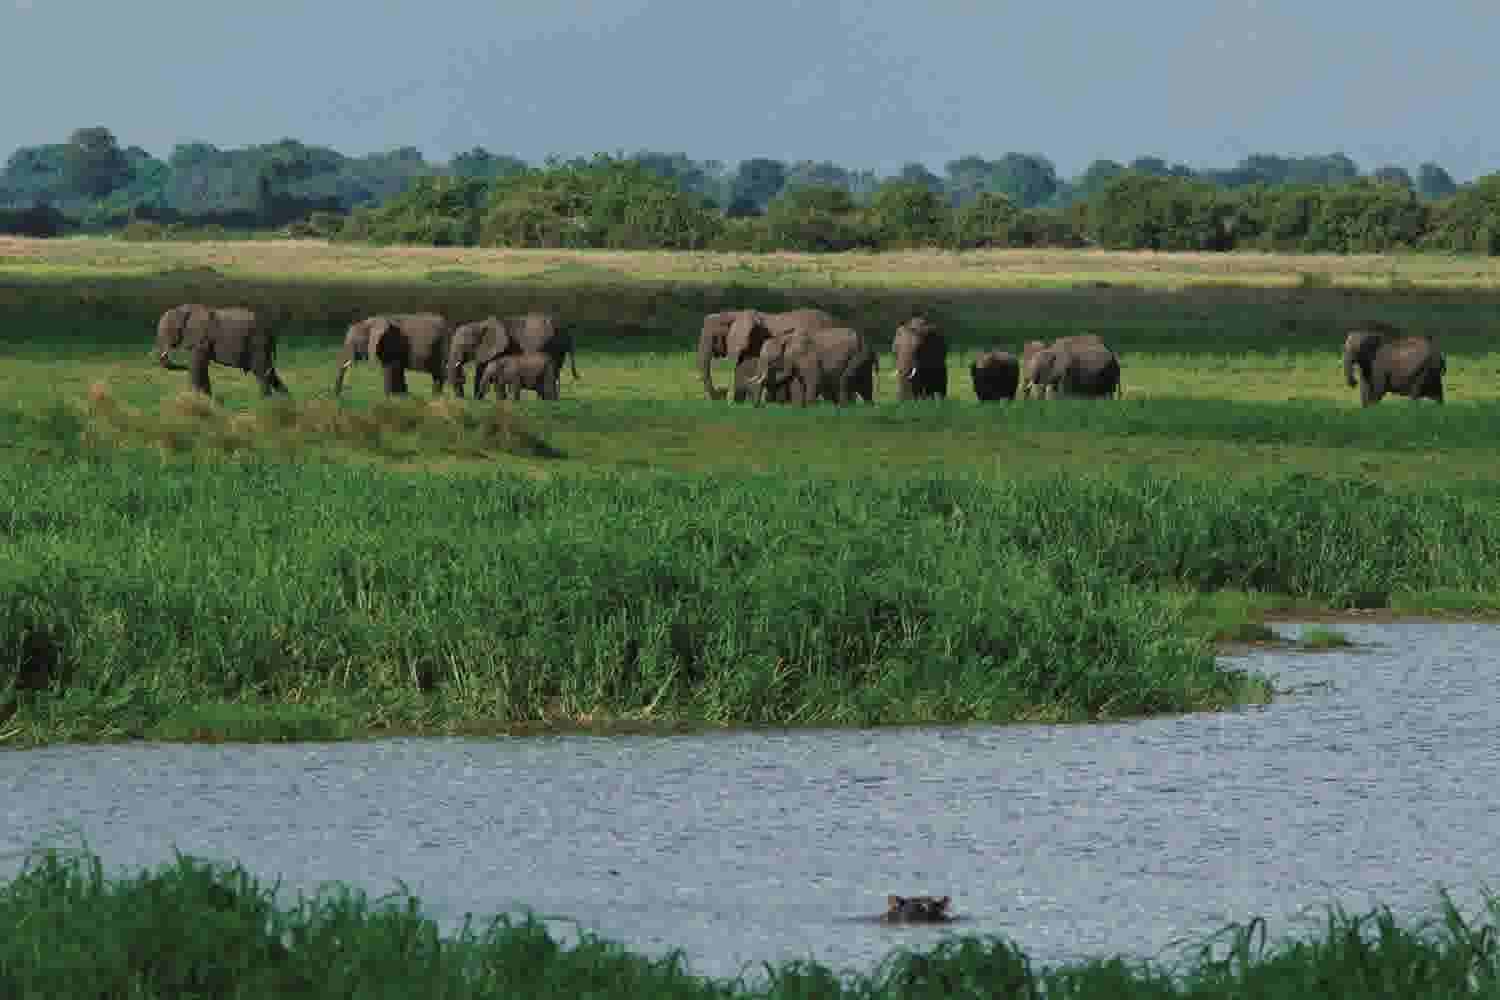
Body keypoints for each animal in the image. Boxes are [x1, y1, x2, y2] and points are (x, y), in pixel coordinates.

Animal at [156, 305, 289, 398]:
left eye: (169, 330)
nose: (184, 366)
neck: (186, 309)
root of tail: (271, 330)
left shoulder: (202, 339)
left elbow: (197, 365)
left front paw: (197, 398)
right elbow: (202, 366)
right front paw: (208, 399)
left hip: (258, 342)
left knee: (261, 371)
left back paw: (265, 401)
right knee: (269, 372)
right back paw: (284, 401)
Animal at [447, 316, 576, 401]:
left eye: (463, 345)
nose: (461, 397)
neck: (479, 324)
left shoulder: (500, 348)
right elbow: (482, 369)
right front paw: (479, 399)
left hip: (547, 344)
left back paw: (542, 399)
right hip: (559, 348)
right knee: (555, 370)